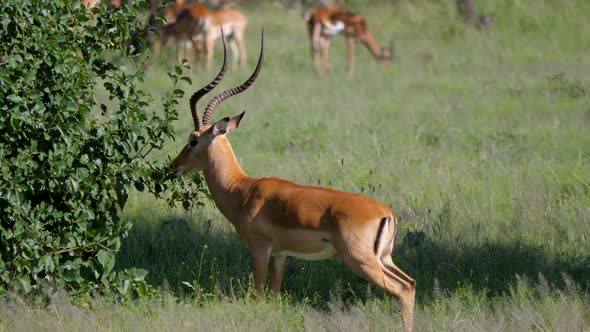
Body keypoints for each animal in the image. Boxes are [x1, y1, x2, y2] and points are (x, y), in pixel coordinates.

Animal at [172, 31, 416, 332]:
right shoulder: (280, 255)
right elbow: (274, 296)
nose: (174, 166)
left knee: (401, 289)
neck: (243, 190)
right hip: (384, 259)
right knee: (411, 283)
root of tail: (387, 213)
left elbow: (257, 295)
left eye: (193, 140)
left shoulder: (260, 250)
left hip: (362, 261)